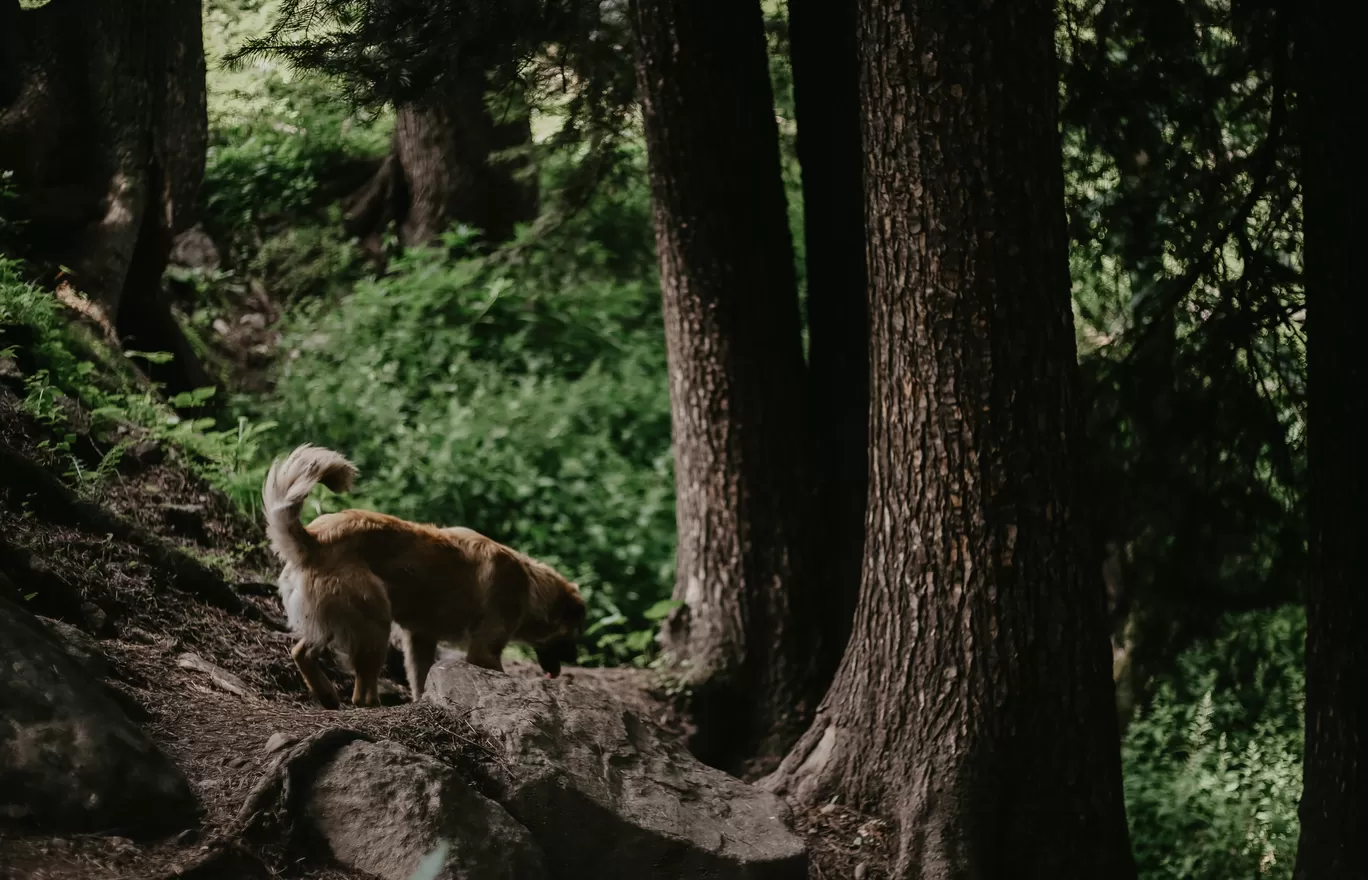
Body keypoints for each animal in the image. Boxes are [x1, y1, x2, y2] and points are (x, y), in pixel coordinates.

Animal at [264, 448, 585, 711]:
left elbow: (420, 677)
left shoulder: (420, 638)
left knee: (302, 652)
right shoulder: (484, 650)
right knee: (361, 692)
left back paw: (328, 695)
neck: (531, 585)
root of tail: (316, 540)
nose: (575, 657)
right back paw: (369, 703)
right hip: (375, 624)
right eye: (573, 633)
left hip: (334, 621)